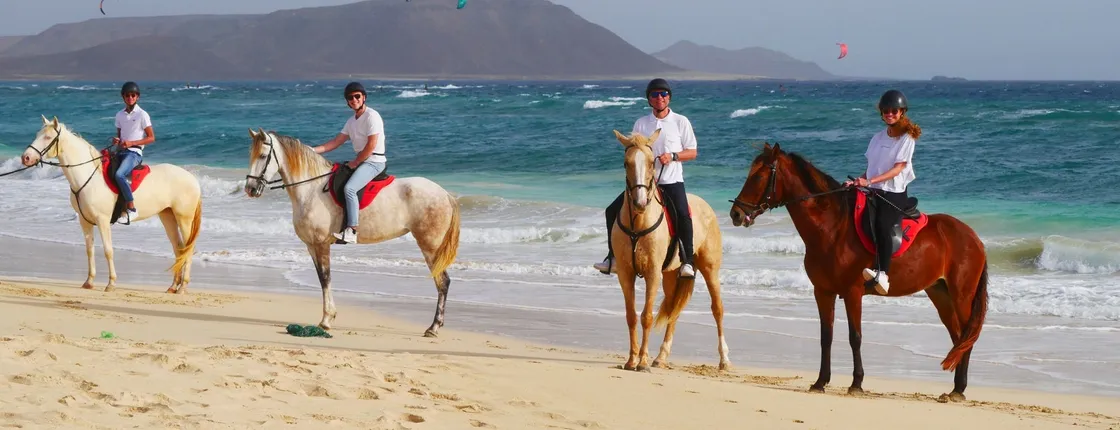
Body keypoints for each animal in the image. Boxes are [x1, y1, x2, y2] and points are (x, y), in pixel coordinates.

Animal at [20, 116, 203, 293]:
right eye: (37, 134)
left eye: (48, 137)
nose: (26, 157)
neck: (88, 177)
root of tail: (192, 179)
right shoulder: (84, 221)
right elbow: (89, 250)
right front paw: (89, 282)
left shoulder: (102, 220)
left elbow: (108, 251)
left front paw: (111, 284)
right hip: (167, 216)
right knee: (179, 248)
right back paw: (173, 286)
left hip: (184, 218)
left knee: (188, 249)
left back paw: (183, 287)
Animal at [242, 128, 460, 337]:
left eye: (263, 156)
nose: (250, 189)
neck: (311, 189)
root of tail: (445, 194)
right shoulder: (311, 245)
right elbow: (321, 278)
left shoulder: (320, 244)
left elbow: (326, 278)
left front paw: (327, 320)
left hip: (430, 246)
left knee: (443, 282)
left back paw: (433, 327)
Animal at [610, 129, 730, 372]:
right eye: (626, 163)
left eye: (651, 162)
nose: (640, 203)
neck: (639, 223)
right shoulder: (626, 274)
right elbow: (631, 316)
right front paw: (631, 360)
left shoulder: (652, 273)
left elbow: (646, 316)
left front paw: (642, 362)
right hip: (671, 275)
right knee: (674, 309)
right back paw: (661, 356)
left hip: (709, 269)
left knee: (717, 309)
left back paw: (724, 360)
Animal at [727, 143, 988, 402]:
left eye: (758, 176)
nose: (735, 214)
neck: (832, 229)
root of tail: (973, 237)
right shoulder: (823, 292)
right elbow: (826, 336)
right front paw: (820, 382)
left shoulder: (853, 292)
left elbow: (855, 337)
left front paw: (856, 383)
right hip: (940, 293)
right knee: (958, 337)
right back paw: (955, 388)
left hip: (961, 295)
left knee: (966, 336)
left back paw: (959, 390)